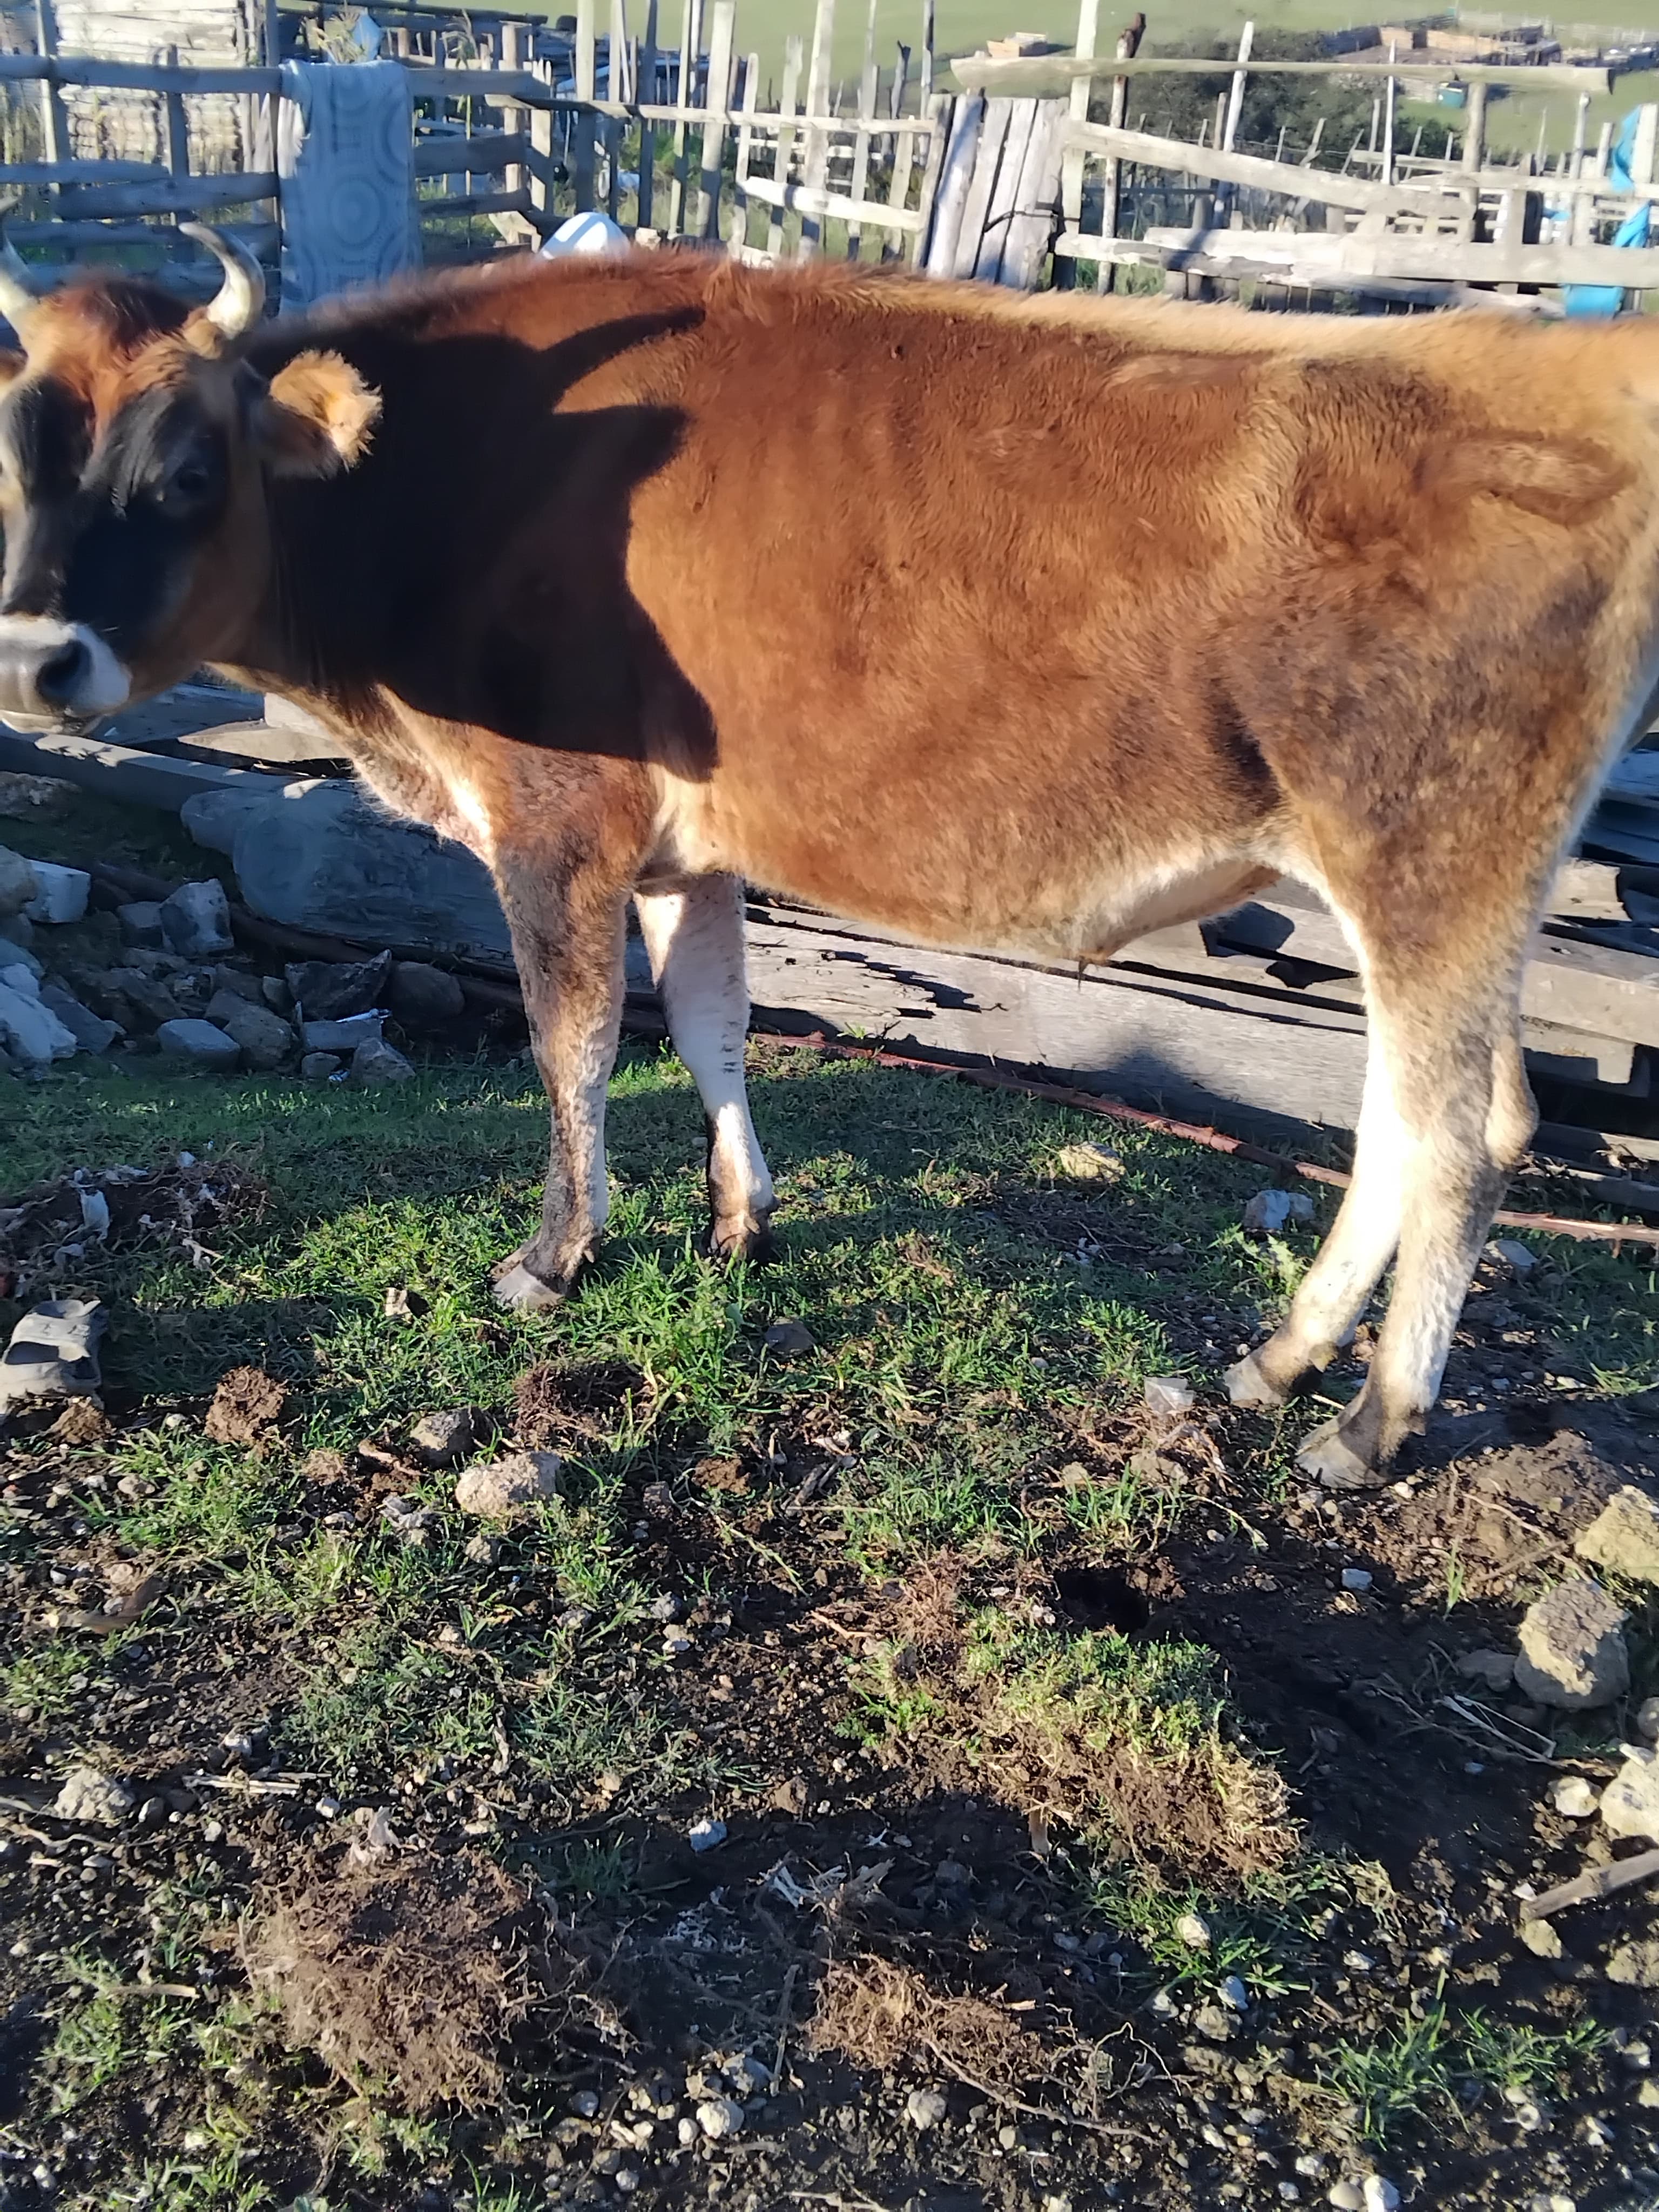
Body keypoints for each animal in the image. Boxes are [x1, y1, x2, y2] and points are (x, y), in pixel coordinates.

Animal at [0, 225, 1652, 1489]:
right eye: (17, 465)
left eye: (188, 467)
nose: (36, 660)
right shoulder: (686, 839)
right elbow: (712, 1022)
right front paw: (740, 1221)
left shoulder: (556, 819)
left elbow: (569, 1043)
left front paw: (555, 1257)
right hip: (1382, 888)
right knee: (1416, 1120)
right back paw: (1283, 1357)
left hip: (1432, 859)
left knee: (1457, 1136)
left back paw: (1371, 1422)